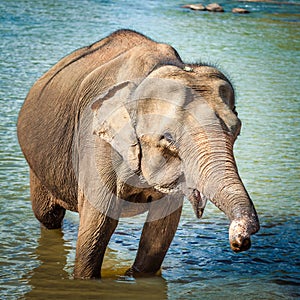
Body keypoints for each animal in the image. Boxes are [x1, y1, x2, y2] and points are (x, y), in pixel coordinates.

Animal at [17, 29, 258, 278]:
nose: (240, 241)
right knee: (48, 216)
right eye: (168, 138)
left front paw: (135, 275)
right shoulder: (96, 145)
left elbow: (161, 229)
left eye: (237, 130)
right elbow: (97, 227)